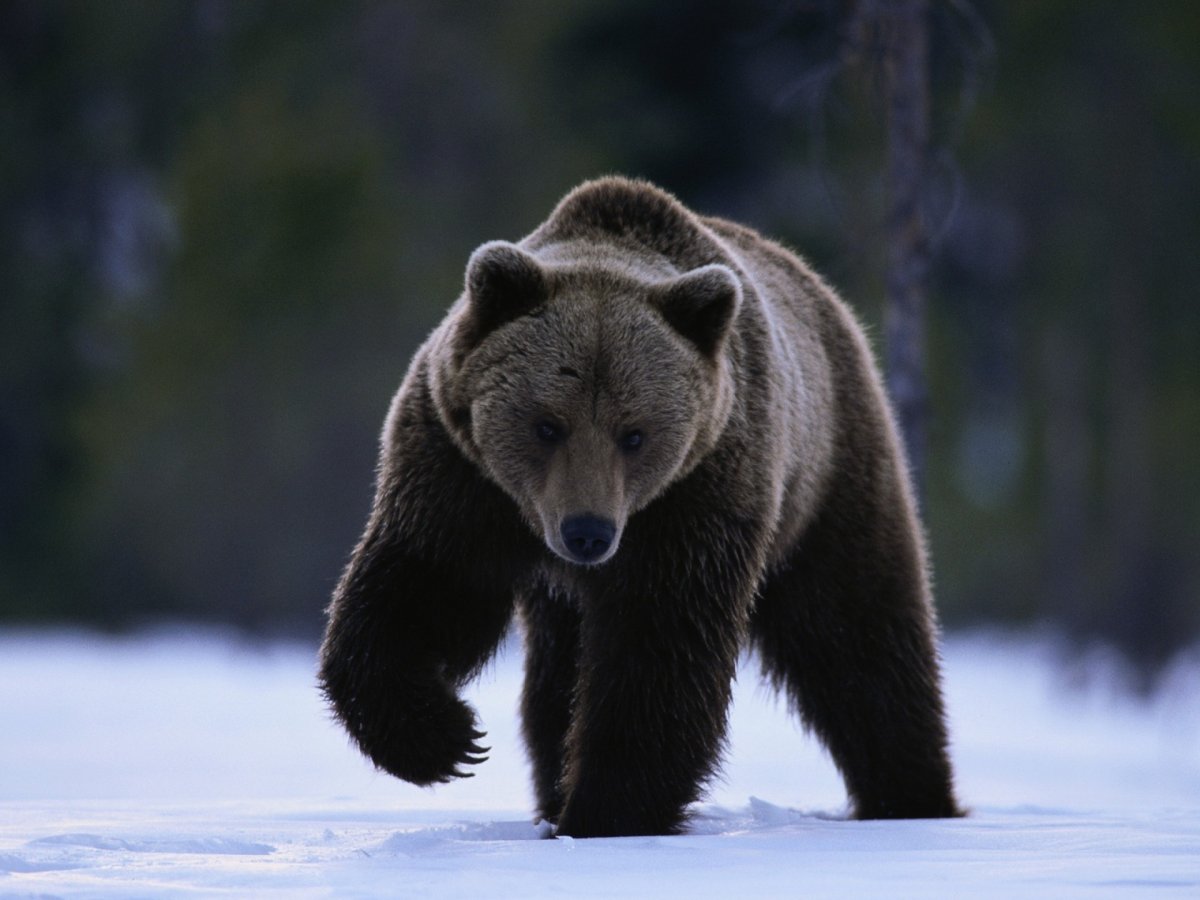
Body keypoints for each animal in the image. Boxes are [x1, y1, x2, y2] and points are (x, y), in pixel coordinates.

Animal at [314, 174, 960, 840]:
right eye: (548, 425)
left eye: (635, 434)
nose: (588, 532)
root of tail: (826, 295)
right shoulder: (458, 473)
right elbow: (424, 588)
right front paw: (445, 739)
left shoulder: (697, 495)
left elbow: (658, 649)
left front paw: (606, 812)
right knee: (555, 680)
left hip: (829, 478)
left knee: (858, 637)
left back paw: (910, 795)